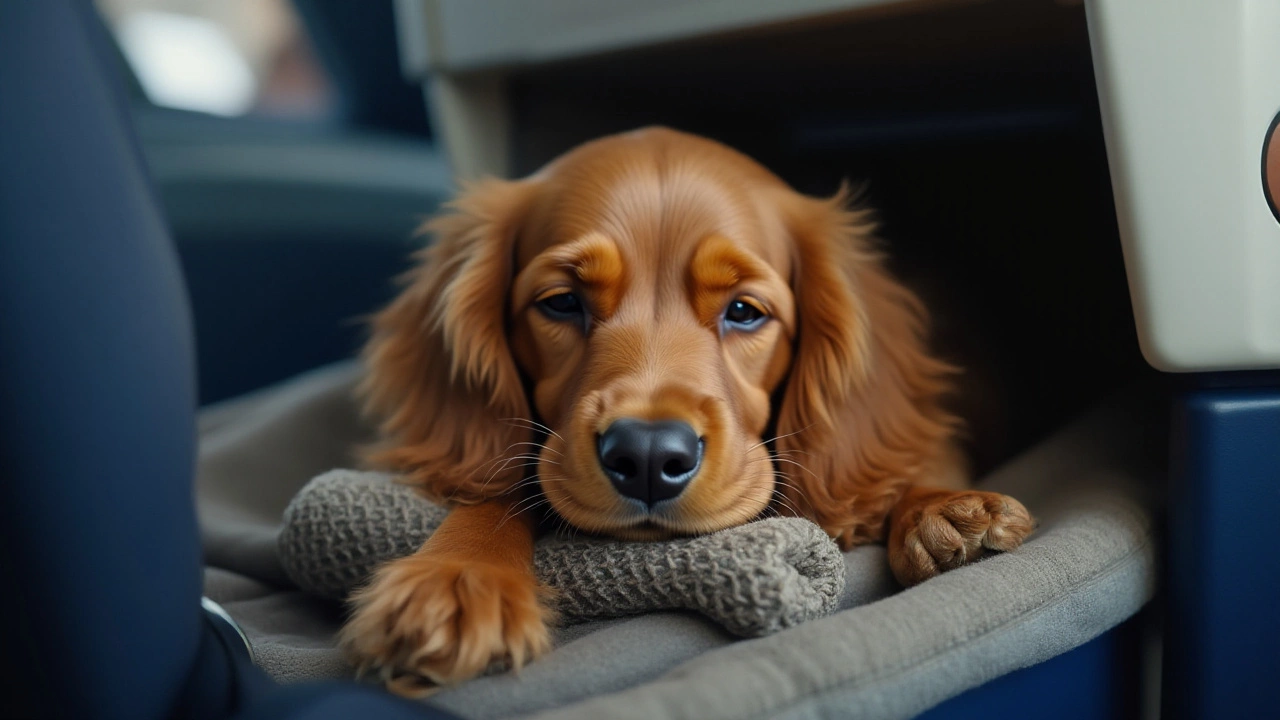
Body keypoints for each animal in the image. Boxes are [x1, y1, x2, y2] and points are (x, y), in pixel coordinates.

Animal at [337, 126, 1029, 691]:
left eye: (744, 311)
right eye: (562, 303)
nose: (646, 457)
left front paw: (938, 506)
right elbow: (499, 489)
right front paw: (457, 578)